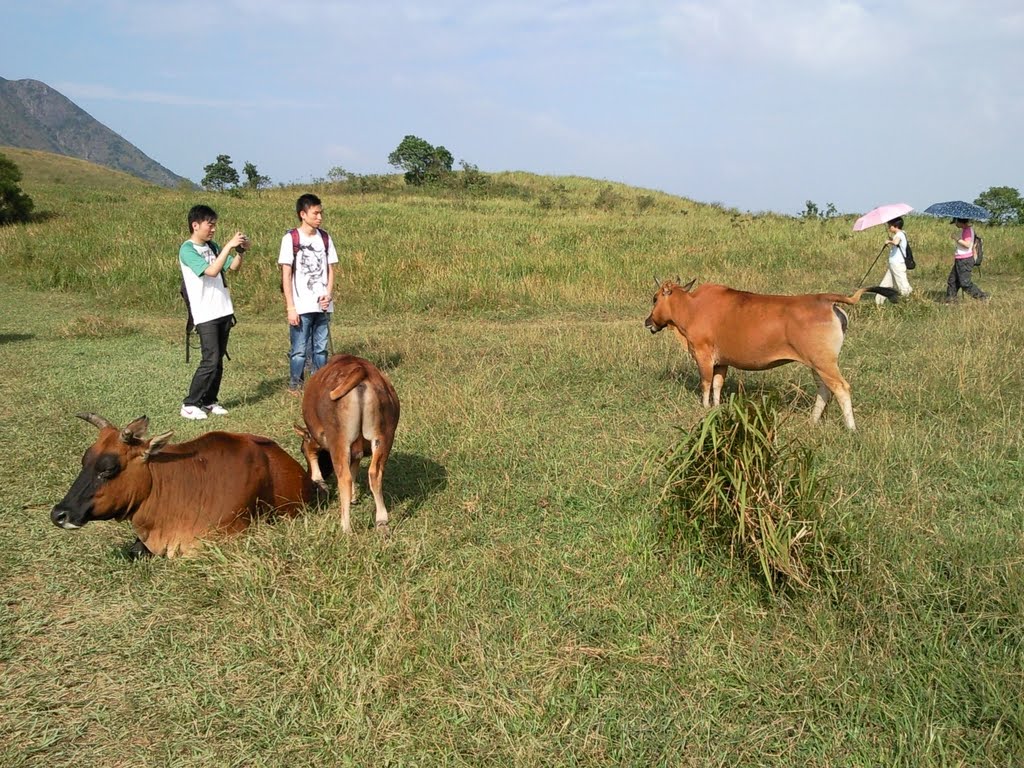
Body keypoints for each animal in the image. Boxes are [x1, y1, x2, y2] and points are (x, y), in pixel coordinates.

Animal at [296, 356, 399, 532]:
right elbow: (355, 466)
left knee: (344, 478)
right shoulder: (357, 451)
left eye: (302, 450)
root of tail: (361, 368)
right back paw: (381, 521)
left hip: (339, 440)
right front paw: (353, 497)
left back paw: (345, 526)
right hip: (384, 436)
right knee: (375, 473)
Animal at [647, 280, 897, 430]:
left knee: (841, 388)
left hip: (824, 363)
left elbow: (706, 384)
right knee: (825, 389)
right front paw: (716, 408)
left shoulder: (703, 355)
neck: (693, 306)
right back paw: (812, 421)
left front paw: (706, 408)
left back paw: (851, 427)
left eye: (655, 298)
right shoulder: (722, 362)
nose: (648, 321)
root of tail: (825, 300)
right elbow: (718, 384)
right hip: (818, 364)